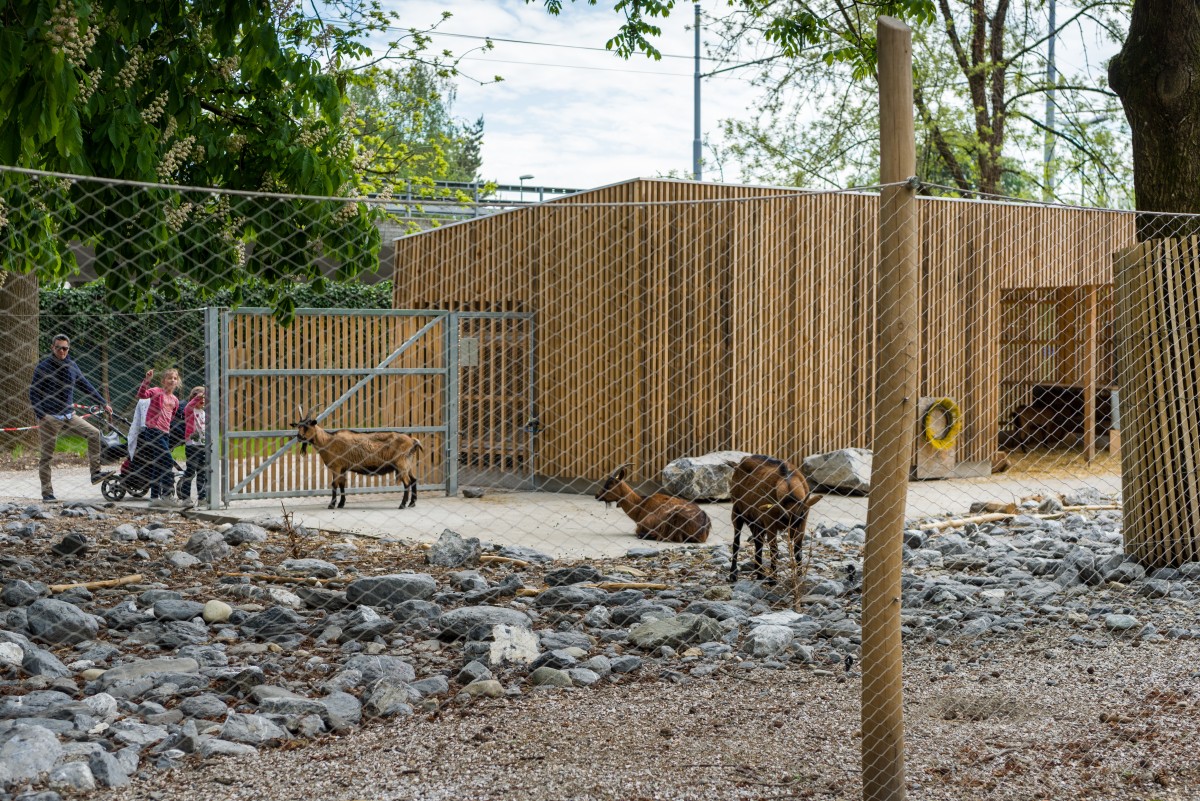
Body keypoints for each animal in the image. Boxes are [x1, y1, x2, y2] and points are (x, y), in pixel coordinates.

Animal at [290, 410, 422, 510]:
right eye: (299, 426)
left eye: (307, 426)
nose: (299, 437)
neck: (328, 441)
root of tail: (413, 441)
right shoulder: (343, 468)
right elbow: (342, 484)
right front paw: (341, 504)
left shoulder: (336, 466)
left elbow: (334, 484)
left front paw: (332, 505)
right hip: (408, 464)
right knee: (413, 479)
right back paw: (412, 503)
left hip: (401, 463)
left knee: (407, 482)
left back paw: (402, 505)